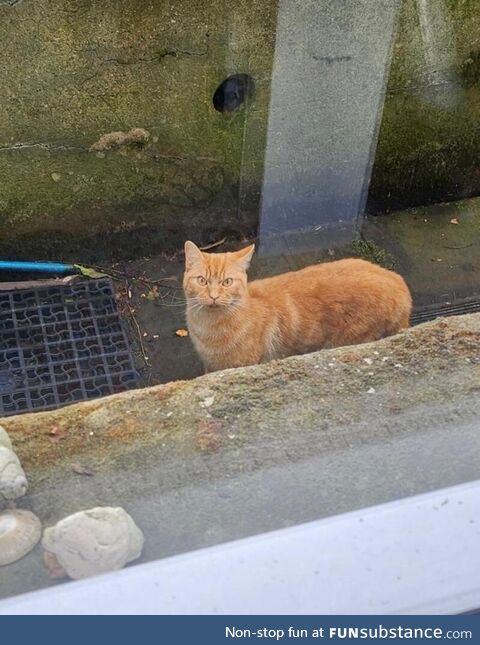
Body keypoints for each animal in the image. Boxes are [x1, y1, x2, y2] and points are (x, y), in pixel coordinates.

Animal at [184, 240, 412, 372]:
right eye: (202, 281)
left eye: (227, 282)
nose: (213, 297)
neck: (207, 328)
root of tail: (400, 285)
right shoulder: (210, 366)